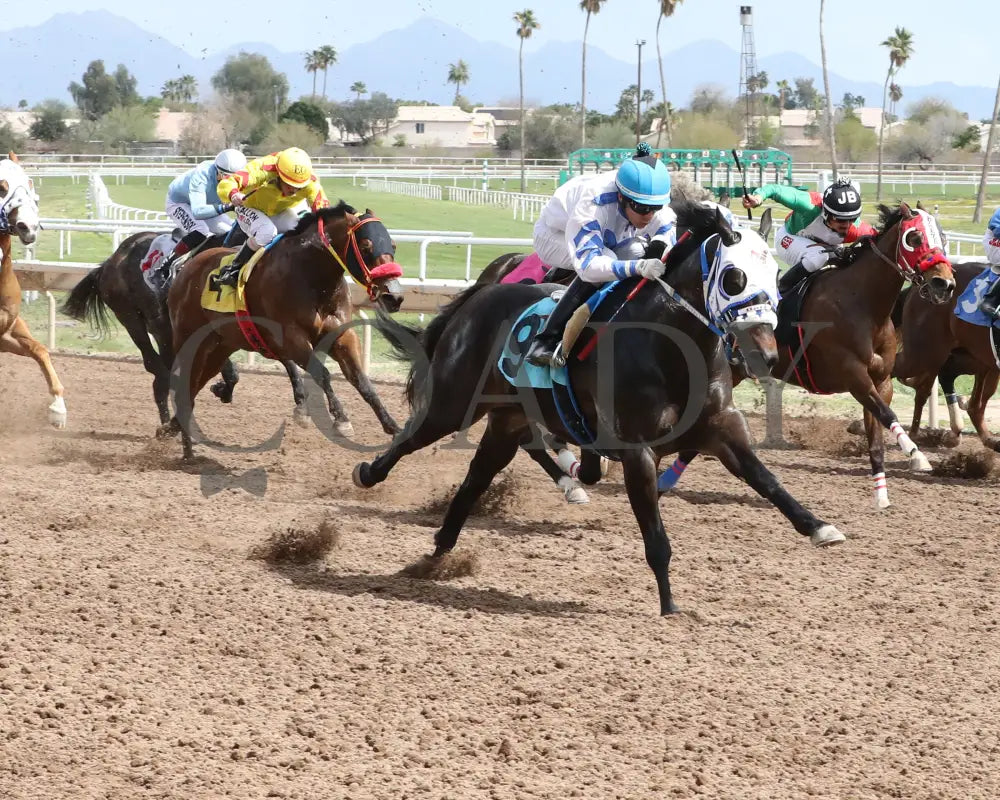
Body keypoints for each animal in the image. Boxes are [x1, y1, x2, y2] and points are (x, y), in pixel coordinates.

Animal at [164, 203, 402, 460]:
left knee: (193, 388)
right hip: (189, 340)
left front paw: (394, 427)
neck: (312, 278)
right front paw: (341, 419)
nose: (394, 297)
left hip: (219, 347)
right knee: (184, 386)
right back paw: (185, 448)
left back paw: (175, 430)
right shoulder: (291, 338)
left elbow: (361, 380)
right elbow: (322, 374)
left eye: (393, 246)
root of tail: (186, 267)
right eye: (366, 247)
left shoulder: (342, 336)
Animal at [354, 203, 844, 616]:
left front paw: (820, 527)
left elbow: (768, 480)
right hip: (455, 403)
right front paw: (670, 605)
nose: (765, 355)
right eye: (734, 277)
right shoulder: (637, 450)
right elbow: (656, 536)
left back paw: (440, 550)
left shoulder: (722, 429)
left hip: (507, 422)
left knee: (478, 478)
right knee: (412, 437)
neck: (671, 348)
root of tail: (479, 295)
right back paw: (369, 474)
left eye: (775, 272)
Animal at [660, 203, 956, 510]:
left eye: (943, 238)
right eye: (915, 238)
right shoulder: (853, 375)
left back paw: (664, 481)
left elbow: (877, 436)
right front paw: (916, 455)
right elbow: (888, 414)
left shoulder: (881, 381)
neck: (862, 304)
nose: (944, 284)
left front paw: (882, 496)